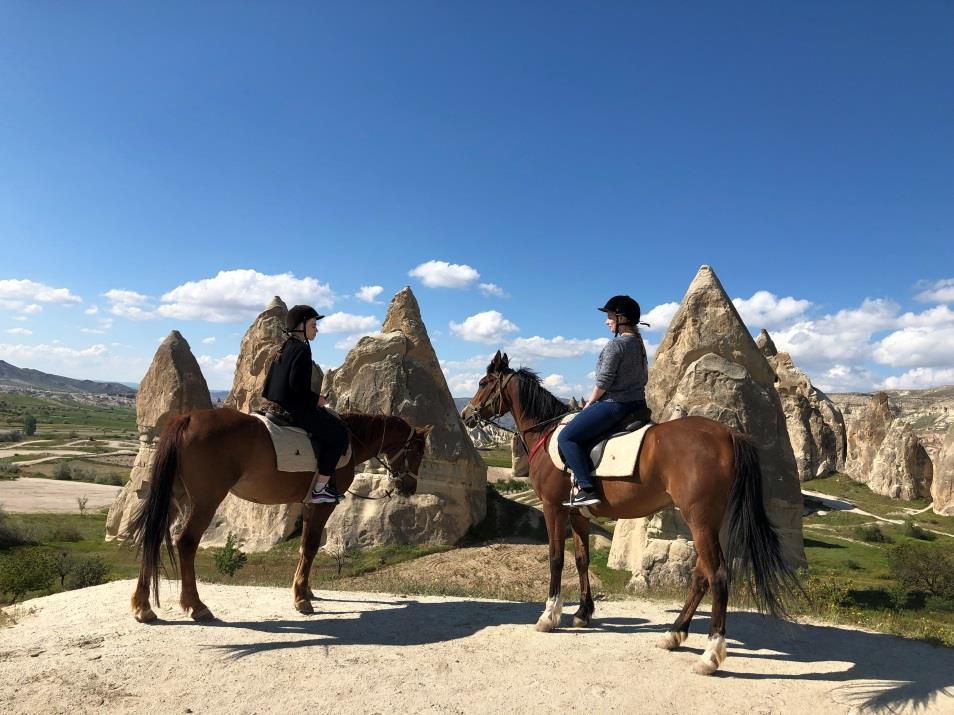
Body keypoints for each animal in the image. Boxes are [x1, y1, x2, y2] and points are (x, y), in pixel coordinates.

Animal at [127, 412, 432, 624]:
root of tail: (188, 418)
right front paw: (301, 600)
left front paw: (305, 590)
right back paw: (197, 606)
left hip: (174, 497)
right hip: (205, 501)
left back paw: (143, 606)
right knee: (187, 543)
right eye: (418, 451)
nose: (410, 487)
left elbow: (304, 548)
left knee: (152, 537)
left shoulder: (309, 504)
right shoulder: (323, 505)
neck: (349, 442)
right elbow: (310, 546)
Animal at [462, 352, 796, 676]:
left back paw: (710, 655)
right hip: (710, 523)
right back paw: (673, 634)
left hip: (700, 521)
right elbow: (581, 559)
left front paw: (549, 615)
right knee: (702, 575)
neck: (547, 434)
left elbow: (556, 558)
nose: (467, 415)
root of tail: (727, 434)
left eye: (482, 383)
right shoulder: (577, 514)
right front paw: (582, 613)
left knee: (718, 575)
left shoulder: (552, 507)